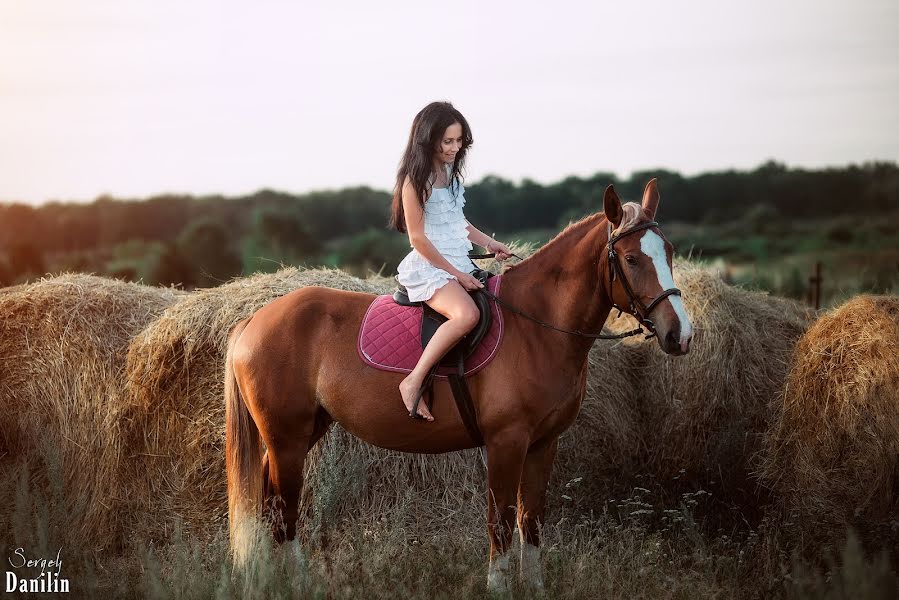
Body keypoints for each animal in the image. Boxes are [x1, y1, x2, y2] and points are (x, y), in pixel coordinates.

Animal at [225, 178, 696, 592]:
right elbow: (501, 521)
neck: (536, 326)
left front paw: (534, 587)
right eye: (631, 259)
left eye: (670, 253)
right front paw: (499, 588)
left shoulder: (544, 444)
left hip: (303, 432)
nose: (681, 335)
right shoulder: (506, 442)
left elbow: (531, 521)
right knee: (283, 511)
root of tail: (255, 318)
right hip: (286, 438)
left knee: (269, 504)